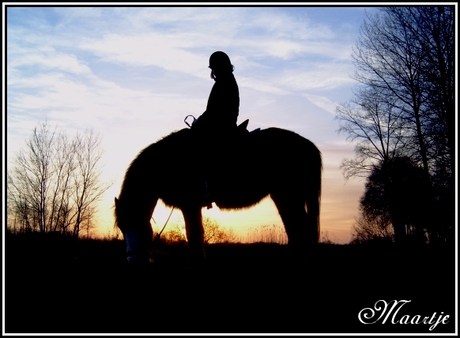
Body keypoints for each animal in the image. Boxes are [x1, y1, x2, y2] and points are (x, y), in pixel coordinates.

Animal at [114, 125, 322, 266]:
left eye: (137, 223)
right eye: (122, 228)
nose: (134, 262)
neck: (169, 161)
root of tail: (308, 146)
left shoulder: (190, 204)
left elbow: (194, 233)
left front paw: (198, 261)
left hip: (289, 196)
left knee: (300, 228)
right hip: (285, 197)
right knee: (295, 228)